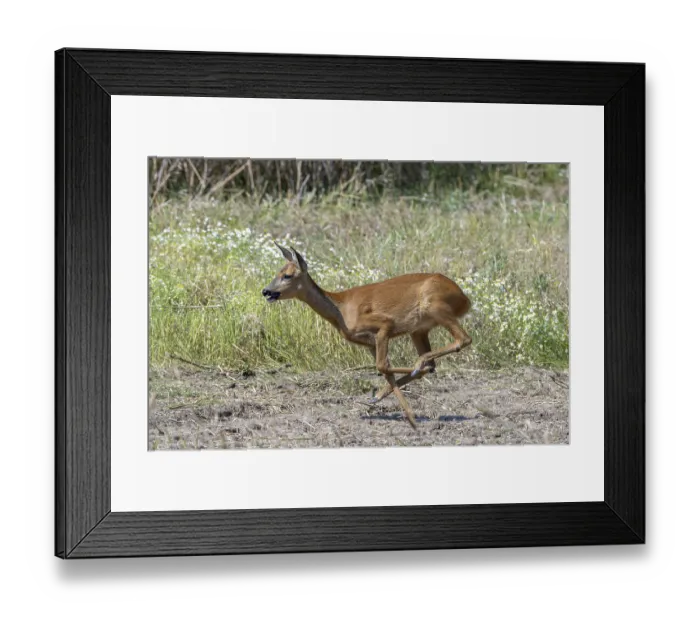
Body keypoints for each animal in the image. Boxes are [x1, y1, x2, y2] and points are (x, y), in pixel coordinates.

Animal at [262, 243, 473, 429]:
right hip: (419, 329)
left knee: (463, 339)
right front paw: (403, 414)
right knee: (432, 363)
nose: (266, 291)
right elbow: (385, 369)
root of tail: (465, 299)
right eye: (278, 272)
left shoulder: (385, 324)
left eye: (287, 275)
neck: (341, 310)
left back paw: (417, 365)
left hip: (435, 307)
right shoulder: (371, 342)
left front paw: (409, 416)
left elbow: (382, 366)